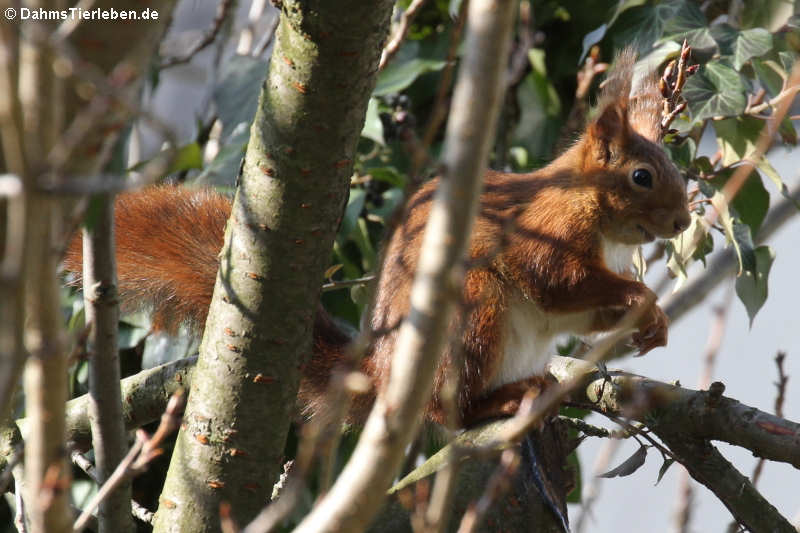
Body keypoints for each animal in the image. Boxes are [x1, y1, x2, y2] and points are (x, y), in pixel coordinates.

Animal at [64, 53, 688, 428]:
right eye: (641, 176)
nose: (682, 222)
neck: (596, 214)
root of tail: (384, 377)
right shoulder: (546, 231)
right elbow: (556, 280)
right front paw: (644, 299)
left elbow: (579, 313)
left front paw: (651, 324)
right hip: (473, 312)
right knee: (450, 414)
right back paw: (499, 401)